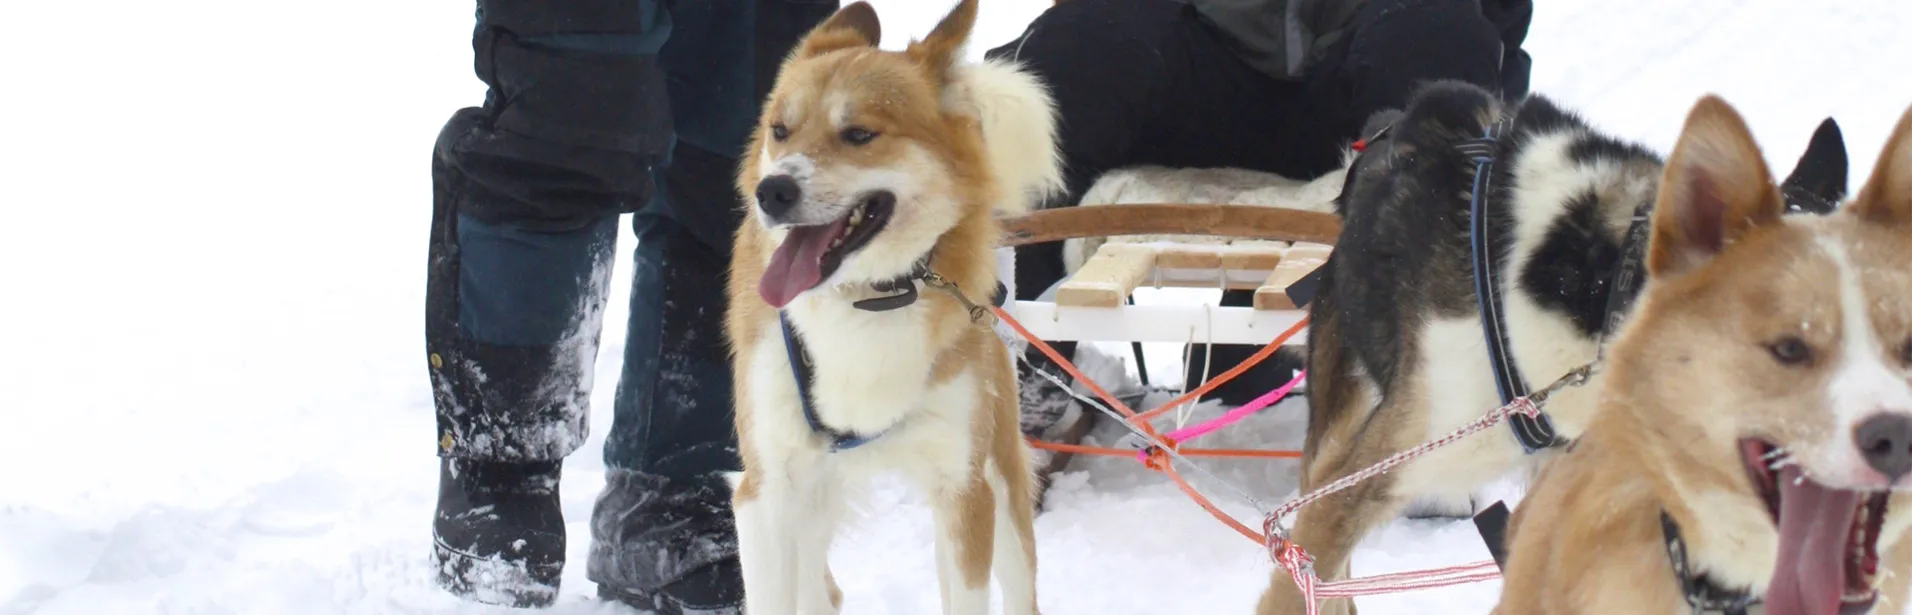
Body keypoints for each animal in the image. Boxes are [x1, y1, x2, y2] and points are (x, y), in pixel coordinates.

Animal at [722, 2, 1070, 611]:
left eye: (859, 134)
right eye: (780, 130)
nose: (772, 192)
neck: (868, 300)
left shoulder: (964, 490)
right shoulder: (766, 494)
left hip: (1001, 483)